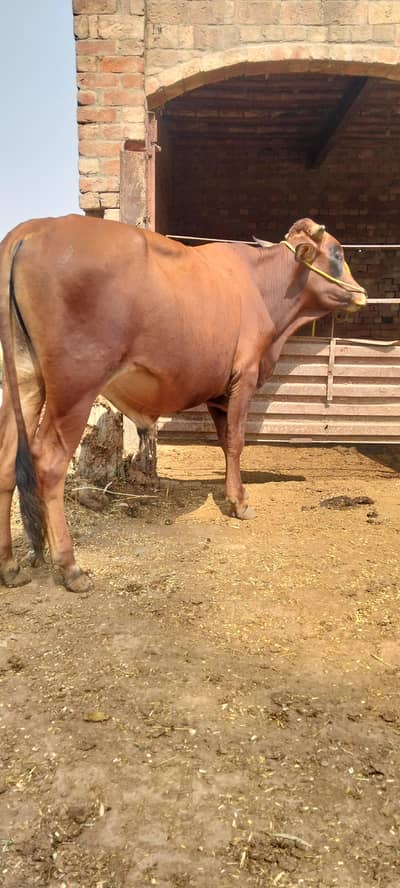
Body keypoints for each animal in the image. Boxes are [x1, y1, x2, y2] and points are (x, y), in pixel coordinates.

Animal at [0, 215, 367, 592]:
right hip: (75, 387)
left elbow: (225, 443)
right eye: (337, 252)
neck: (262, 287)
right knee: (49, 462)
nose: (361, 293)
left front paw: (232, 494)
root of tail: (33, 227)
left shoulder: (220, 392)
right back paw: (70, 567)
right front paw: (241, 503)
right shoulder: (245, 376)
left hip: (24, 380)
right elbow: (237, 442)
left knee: (7, 459)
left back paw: (10, 566)